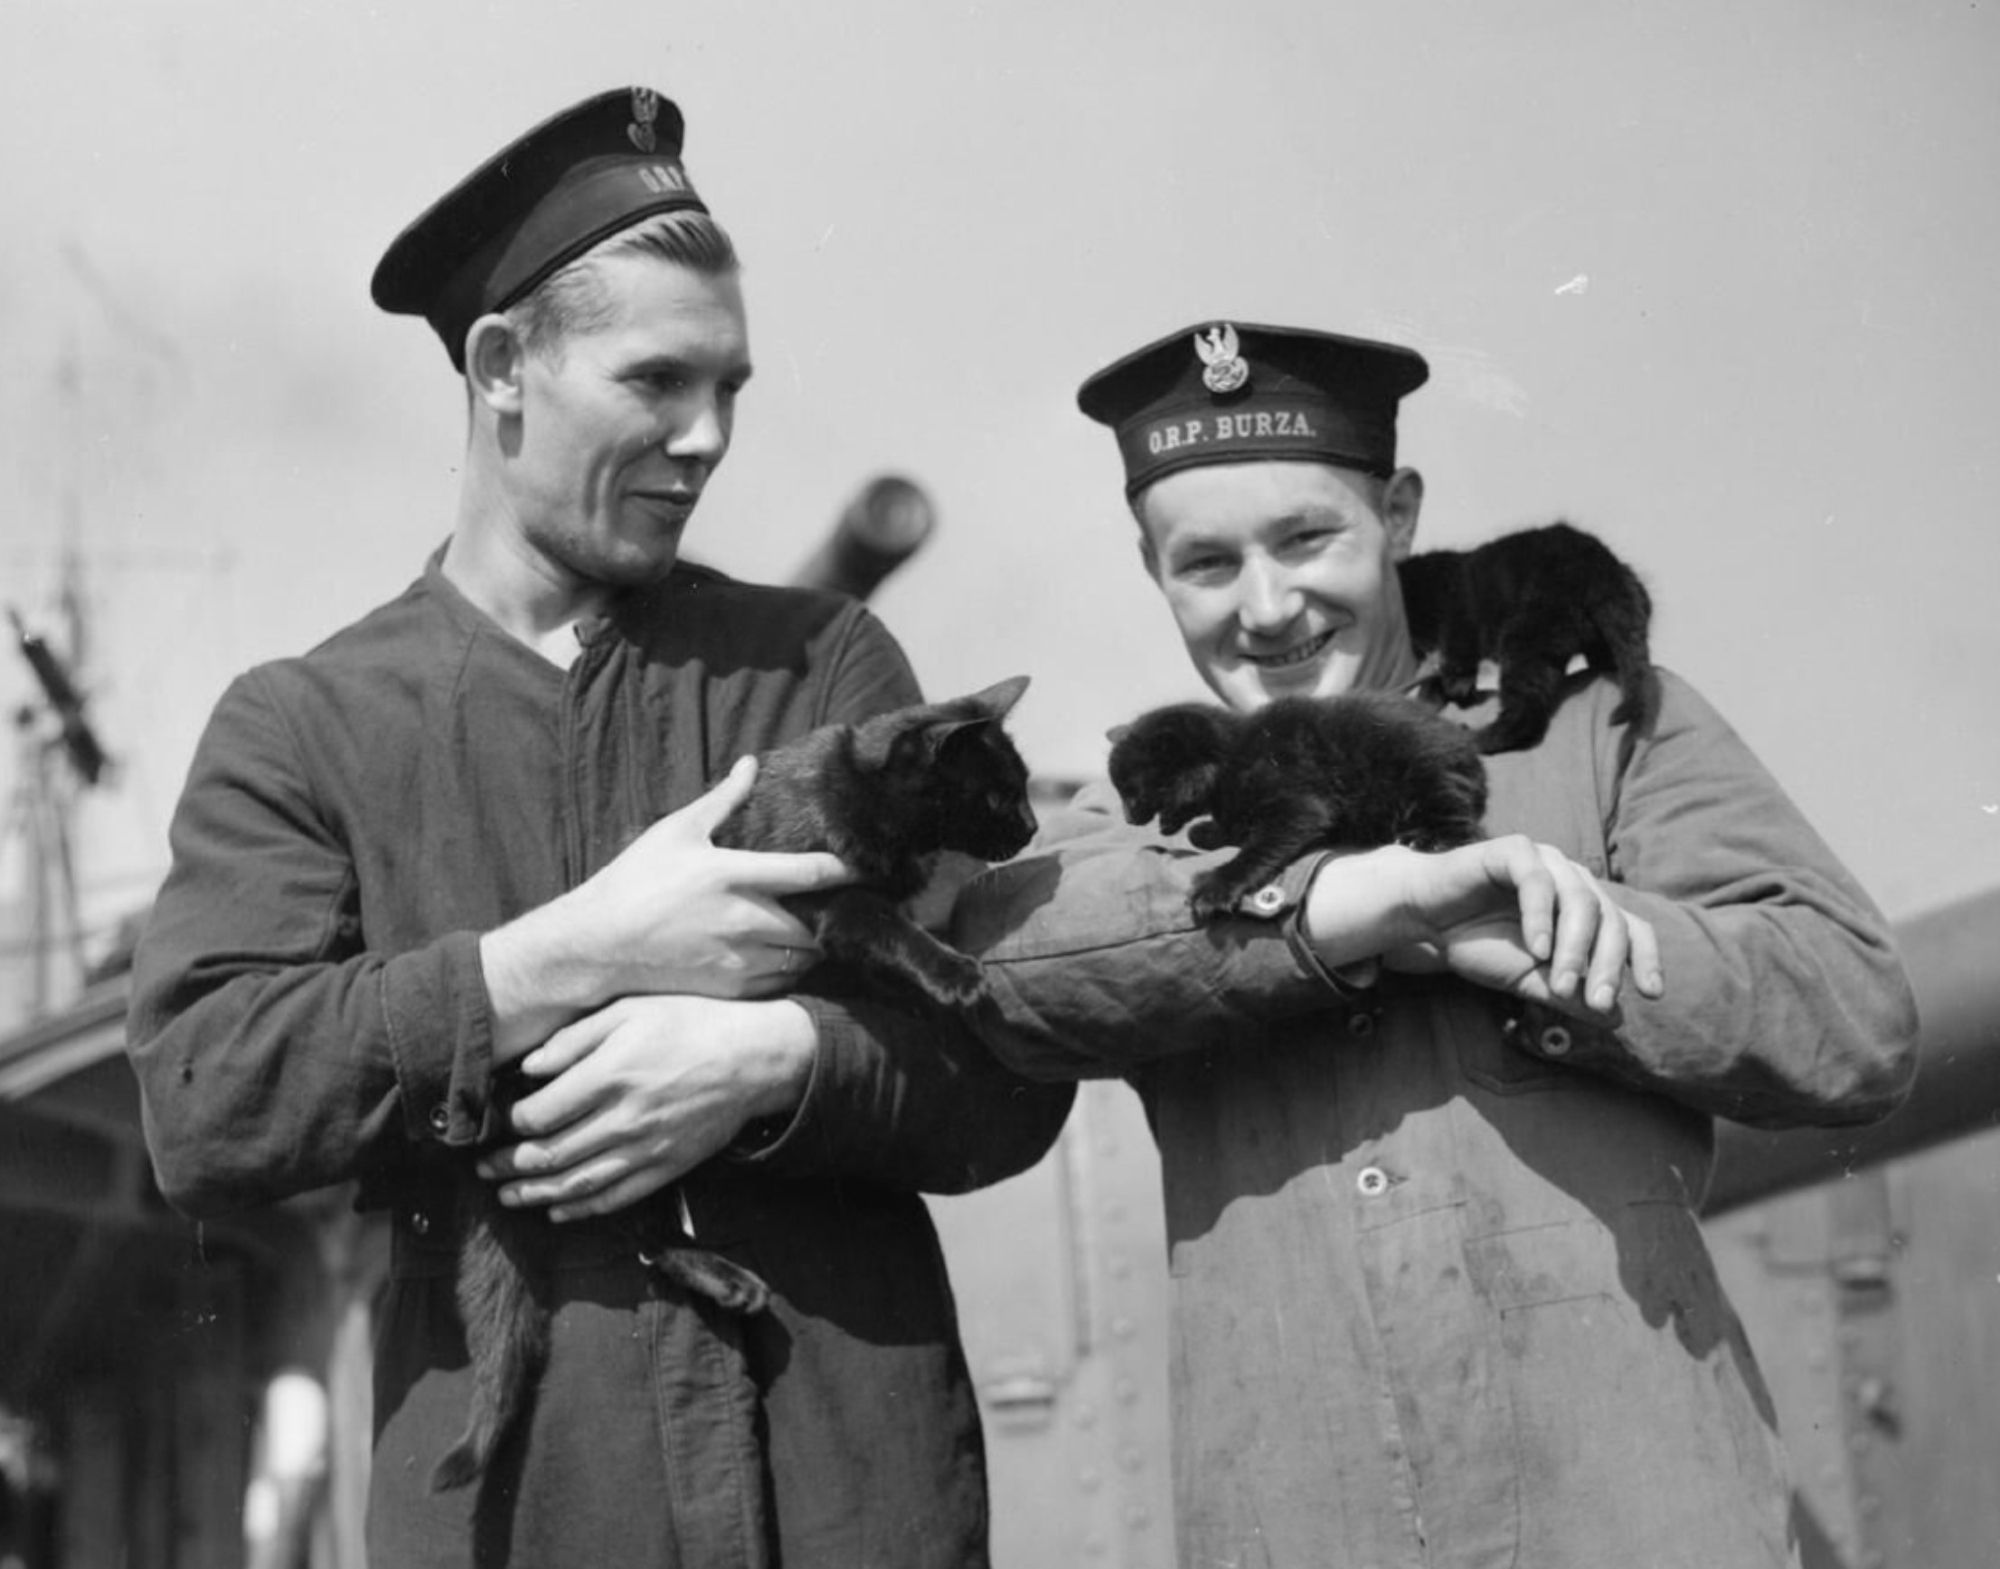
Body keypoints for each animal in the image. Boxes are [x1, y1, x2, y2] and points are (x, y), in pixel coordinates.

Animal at [430, 676, 1040, 1496]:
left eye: (1024, 789)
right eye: (1001, 794)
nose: (1034, 825)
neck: (854, 788)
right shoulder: (832, 902)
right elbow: (894, 935)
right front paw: (954, 974)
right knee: (643, 1233)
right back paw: (729, 1282)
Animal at [1112, 688, 1488, 920]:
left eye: (1131, 793)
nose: (1128, 819)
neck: (1233, 759)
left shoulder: (1297, 805)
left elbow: (1256, 848)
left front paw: (1218, 885)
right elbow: (1225, 829)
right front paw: (1209, 832)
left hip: (1427, 772)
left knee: (1457, 817)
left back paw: (1430, 837)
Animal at [1392, 520, 1656, 752]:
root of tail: (1601, 564)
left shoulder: (1458, 613)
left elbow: (1456, 655)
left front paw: (1453, 688)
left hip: (1524, 639)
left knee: (1526, 716)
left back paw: (1473, 738)